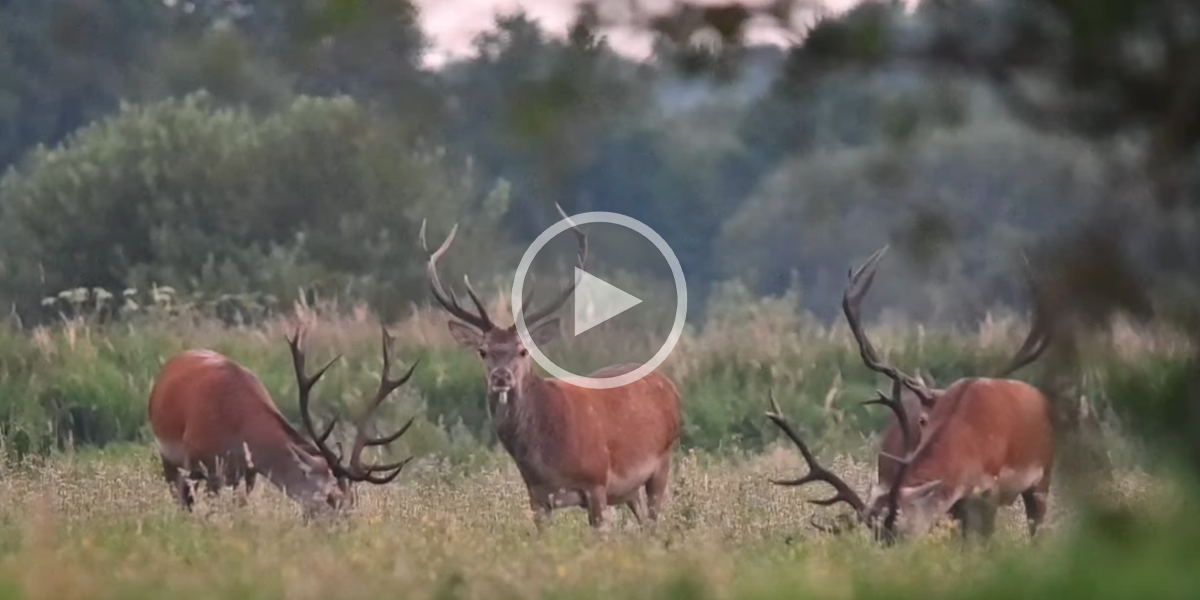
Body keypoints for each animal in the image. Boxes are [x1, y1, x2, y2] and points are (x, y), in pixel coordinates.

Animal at [150, 326, 417, 518]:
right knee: (181, 499)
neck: (237, 428)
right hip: (170, 458)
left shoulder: (248, 474)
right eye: (330, 498)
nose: (348, 525)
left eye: (352, 500)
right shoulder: (206, 466)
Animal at [422, 205, 686, 530]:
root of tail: (671, 388)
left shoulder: (597, 482)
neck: (545, 458)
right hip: (629, 488)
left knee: (654, 522)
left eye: (523, 350)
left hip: (662, 462)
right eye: (483, 352)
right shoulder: (537, 495)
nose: (501, 377)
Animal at [763, 246, 1056, 542]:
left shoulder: (989, 492)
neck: (967, 445)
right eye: (876, 535)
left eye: (899, 530)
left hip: (1043, 478)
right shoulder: (957, 502)